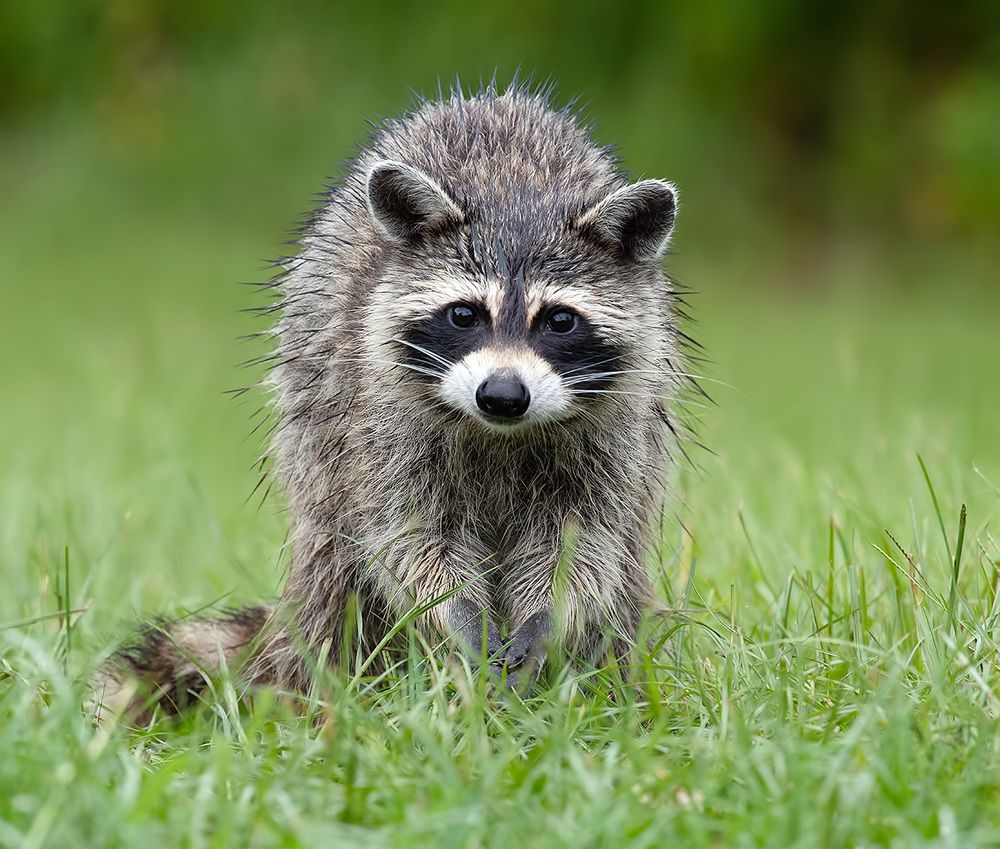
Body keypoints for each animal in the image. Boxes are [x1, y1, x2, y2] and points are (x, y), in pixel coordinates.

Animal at [92, 83, 690, 721]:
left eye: (559, 320)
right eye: (464, 314)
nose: (502, 396)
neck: (515, 196)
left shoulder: (618, 423)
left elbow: (585, 538)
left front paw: (544, 620)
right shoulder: (375, 410)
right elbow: (407, 533)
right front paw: (459, 617)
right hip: (320, 471)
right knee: (338, 584)